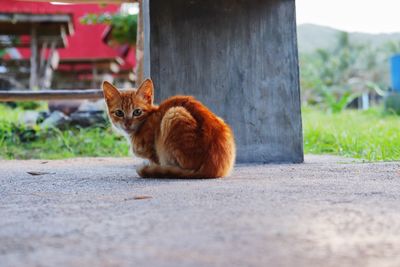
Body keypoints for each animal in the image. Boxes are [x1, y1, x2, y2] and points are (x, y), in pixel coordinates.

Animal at [101, 78, 236, 179]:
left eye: (137, 112)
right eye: (119, 113)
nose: (127, 124)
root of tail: (212, 169)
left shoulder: (154, 153)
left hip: (173, 113)